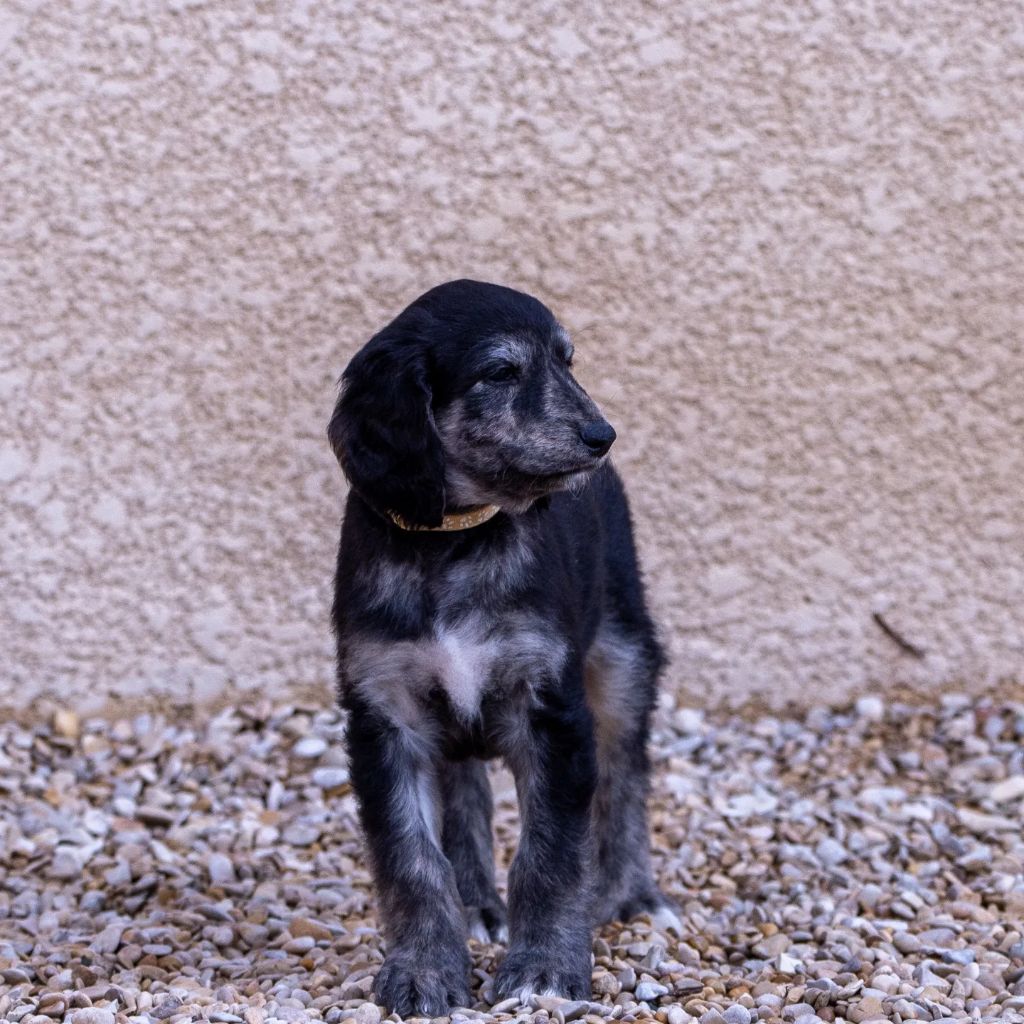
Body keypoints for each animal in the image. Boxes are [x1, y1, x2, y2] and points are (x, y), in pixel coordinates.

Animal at [327, 280, 675, 1015]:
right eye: (501, 372)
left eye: (567, 361)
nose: (602, 436)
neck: (454, 537)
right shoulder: (384, 711)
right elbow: (411, 859)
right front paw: (423, 970)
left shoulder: (552, 708)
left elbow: (549, 852)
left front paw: (543, 967)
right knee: (463, 790)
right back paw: (475, 904)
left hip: (623, 655)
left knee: (626, 775)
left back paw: (633, 895)